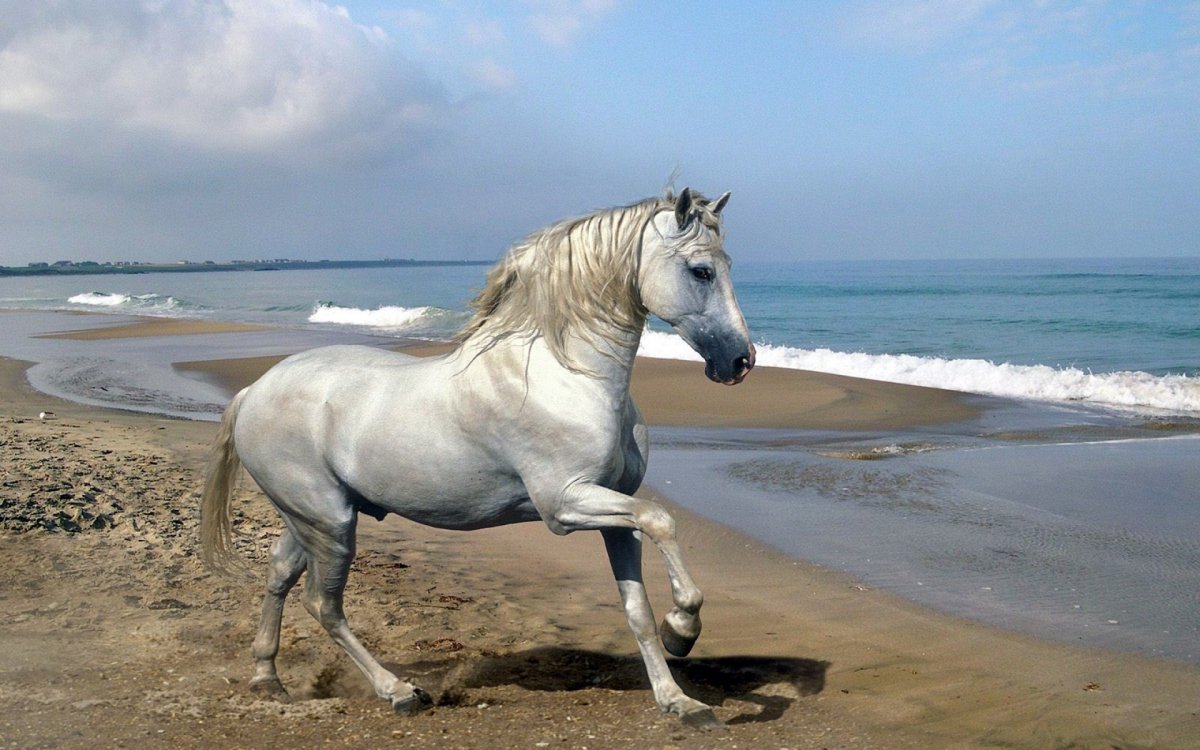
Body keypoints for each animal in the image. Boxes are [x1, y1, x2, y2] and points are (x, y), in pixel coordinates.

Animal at [200, 187, 755, 727]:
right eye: (701, 270)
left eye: (727, 263)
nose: (740, 360)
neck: (566, 375)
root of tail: (253, 391)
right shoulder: (565, 505)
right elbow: (663, 520)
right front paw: (682, 629)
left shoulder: (615, 511)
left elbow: (637, 607)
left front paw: (679, 701)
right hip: (330, 522)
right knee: (323, 604)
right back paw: (399, 692)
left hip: (311, 518)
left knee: (279, 575)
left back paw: (267, 678)